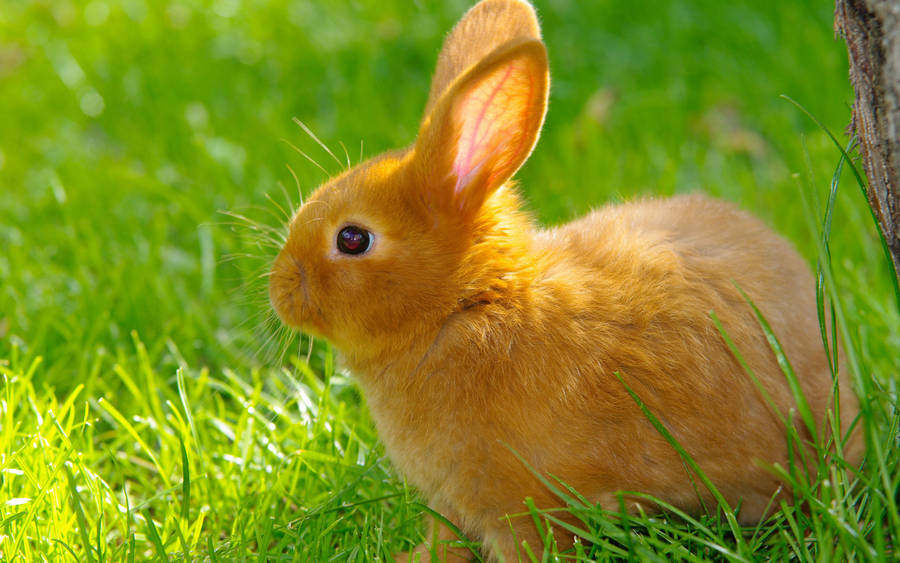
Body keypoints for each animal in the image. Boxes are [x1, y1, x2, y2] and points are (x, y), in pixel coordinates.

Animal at [268, 0, 864, 560]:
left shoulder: (527, 509)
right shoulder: (454, 504)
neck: (464, 306)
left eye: (352, 239)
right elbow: (445, 539)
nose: (279, 289)